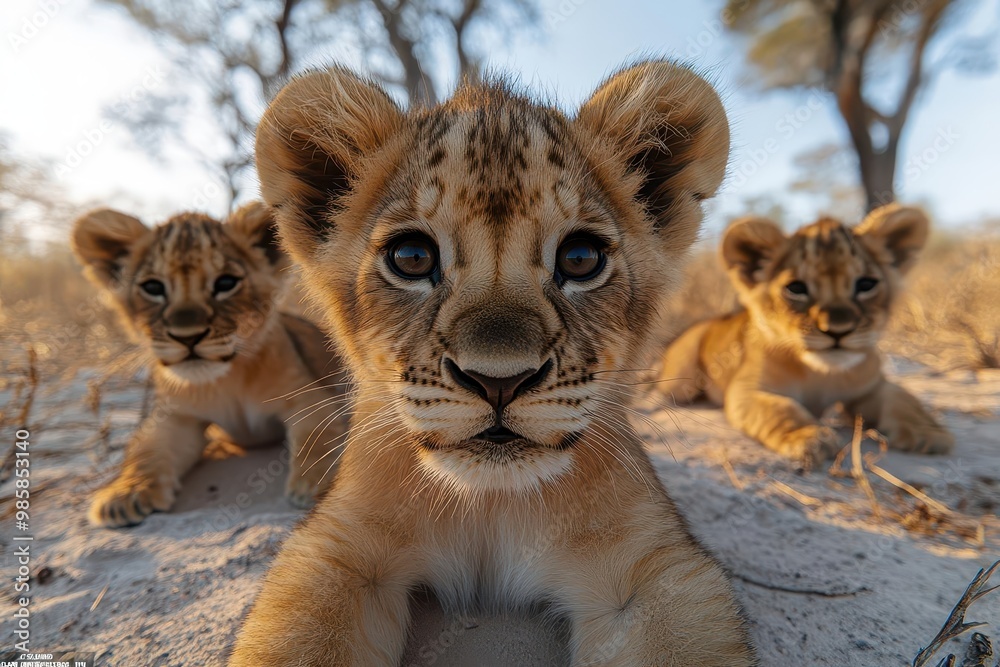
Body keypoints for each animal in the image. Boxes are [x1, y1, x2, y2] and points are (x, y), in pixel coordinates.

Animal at [71, 202, 351, 527]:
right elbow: (145, 452)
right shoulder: (176, 416)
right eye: (153, 288)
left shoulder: (308, 396)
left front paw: (321, 487)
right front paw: (125, 494)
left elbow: (317, 439)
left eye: (225, 283)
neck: (225, 382)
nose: (188, 337)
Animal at [229, 62, 757, 666]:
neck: (491, 503)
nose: (499, 381)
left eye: (581, 258)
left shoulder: (652, 569)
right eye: (412, 258)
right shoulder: (336, 550)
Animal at [655, 205, 954, 466]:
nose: (838, 330)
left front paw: (929, 432)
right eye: (796, 288)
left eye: (866, 284)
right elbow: (780, 409)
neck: (820, 373)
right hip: (680, 379)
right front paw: (810, 437)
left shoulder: (873, 384)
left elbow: (902, 398)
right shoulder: (748, 389)